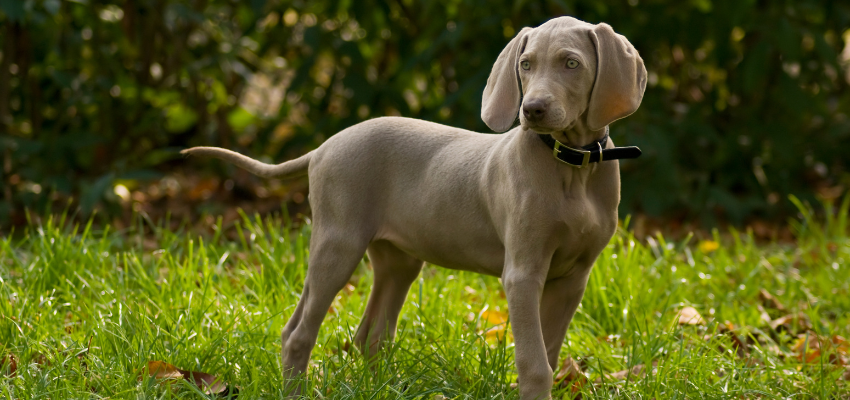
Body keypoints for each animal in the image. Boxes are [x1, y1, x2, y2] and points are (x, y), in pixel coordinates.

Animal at [184, 15, 644, 400]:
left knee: (369, 335)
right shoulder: (523, 274)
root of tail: (325, 146)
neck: (573, 166)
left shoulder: (574, 279)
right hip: (338, 243)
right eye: (526, 64)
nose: (532, 110)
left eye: (571, 63)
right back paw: (296, 391)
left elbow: (549, 352)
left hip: (398, 259)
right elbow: (535, 364)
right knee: (298, 332)